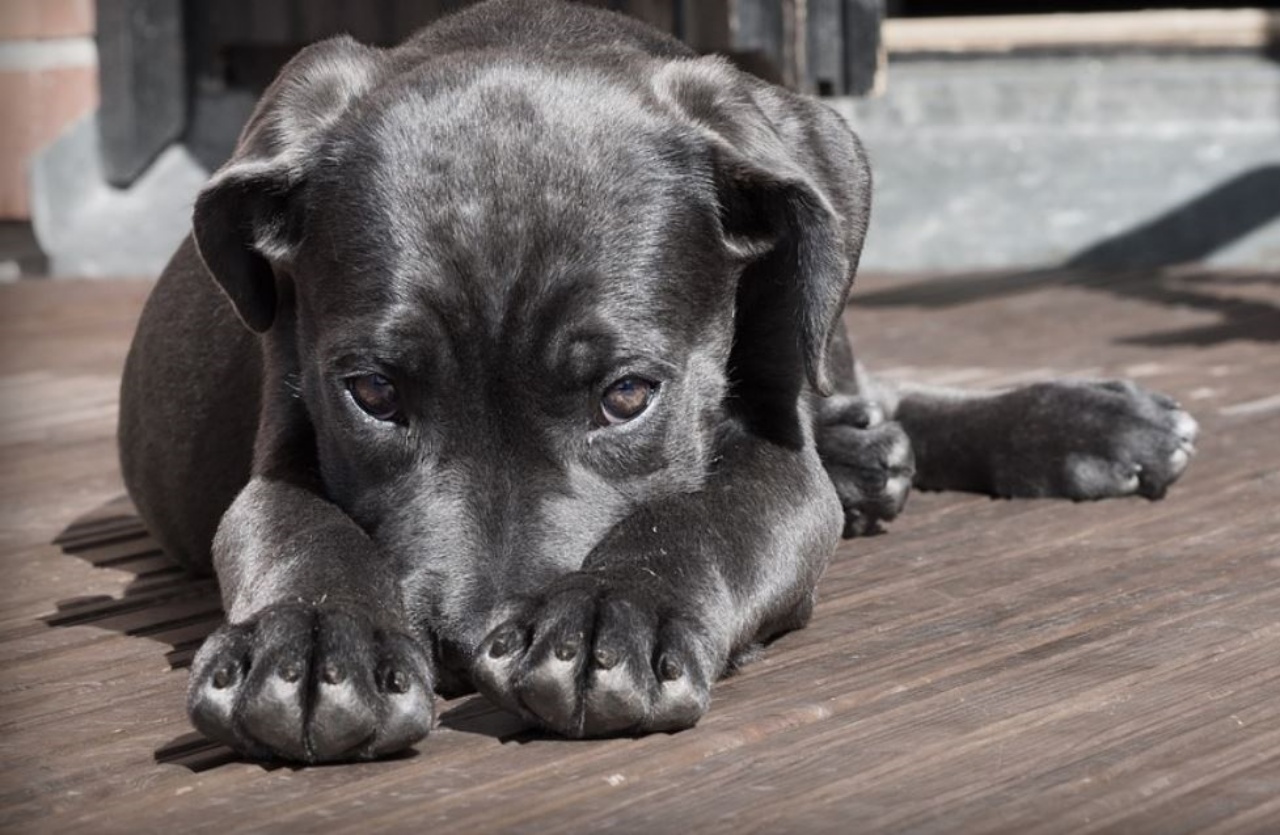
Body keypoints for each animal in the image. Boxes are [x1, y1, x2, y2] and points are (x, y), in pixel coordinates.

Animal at [117, 0, 1198, 763]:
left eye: (627, 395)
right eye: (374, 395)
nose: (466, 646)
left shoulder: (775, 461)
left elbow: (703, 514)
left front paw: (611, 614)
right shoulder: (280, 443)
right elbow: (299, 528)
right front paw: (309, 643)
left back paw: (1079, 423)